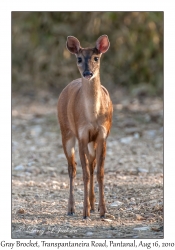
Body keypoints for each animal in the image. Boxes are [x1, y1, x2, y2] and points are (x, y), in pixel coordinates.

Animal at [56, 34, 113, 219]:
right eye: (79, 58)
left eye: (96, 58)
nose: (88, 73)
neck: (93, 116)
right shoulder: (81, 135)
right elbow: (85, 174)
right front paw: (85, 211)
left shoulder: (102, 135)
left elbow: (100, 172)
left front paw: (103, 211)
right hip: (66, 132)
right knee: (72, 169)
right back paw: (72, 208)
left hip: (91, 141)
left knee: (92, 164)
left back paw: (93, 205)